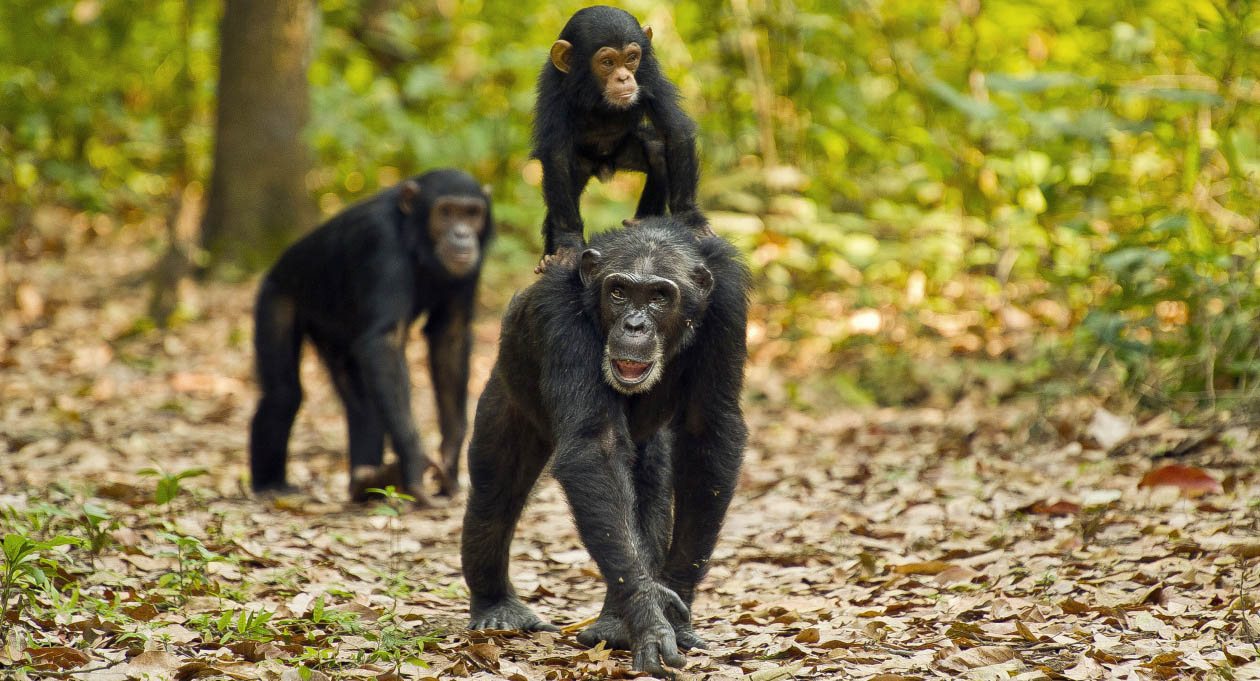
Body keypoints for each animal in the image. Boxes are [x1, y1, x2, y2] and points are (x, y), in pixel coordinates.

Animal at [246, 167, 491, 506]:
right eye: (446, 212)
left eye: (471, 213)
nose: (462, 234)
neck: (417, 242)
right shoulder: (381, 242)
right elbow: (384, 344)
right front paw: (415, 465)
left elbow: (450, 338)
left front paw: (450, 463)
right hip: (277, 293)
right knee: (283, 395)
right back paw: (271, 484)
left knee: (363, 407)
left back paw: (366, 483)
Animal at [461, 214, 745, 675]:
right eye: (619, 292)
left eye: (659, 296)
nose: (634, 325)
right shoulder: (559, 316)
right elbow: (597, 446)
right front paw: (649, 615)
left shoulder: (728, 308)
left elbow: (710, 433)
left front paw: (674, 605)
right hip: (506, 391)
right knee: (496, 493)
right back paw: (497, 608)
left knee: (647, 496)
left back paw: (613, 624)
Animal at [529, 5, 710, 272]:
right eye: (607, 62)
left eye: (631, 58)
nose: (624, 77)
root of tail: (604, 166)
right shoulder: (554, 88)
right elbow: (556, 155)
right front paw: (569, 244)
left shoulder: (649, 76)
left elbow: (675, 130)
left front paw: (691, 220)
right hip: (581, 166)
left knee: (656, 149)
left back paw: (643, 222)